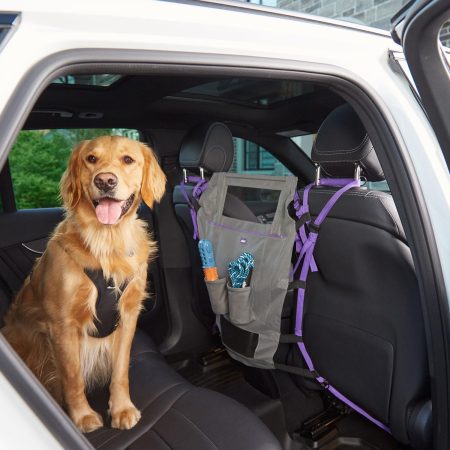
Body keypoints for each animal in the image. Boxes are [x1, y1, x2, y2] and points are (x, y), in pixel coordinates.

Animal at [2, 136, 167, 432]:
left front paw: (122, 409)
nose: (105, 181)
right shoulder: (62, 324)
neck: (108, 241)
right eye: (91, 159)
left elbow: (121, 370)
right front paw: (82, 417)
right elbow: (72, 377)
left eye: (128, 159)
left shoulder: (128, 315)